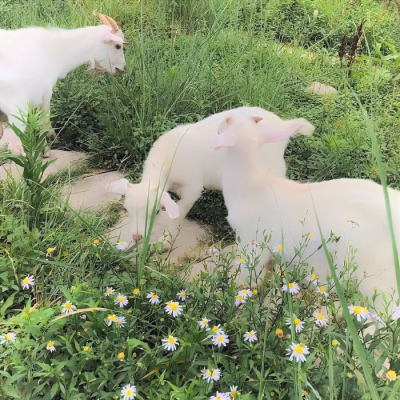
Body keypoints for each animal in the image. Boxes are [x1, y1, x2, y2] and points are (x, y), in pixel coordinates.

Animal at [0, 13, 127, 155]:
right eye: (118, 46)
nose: (123, 68)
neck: (56, 50)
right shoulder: (45, 92)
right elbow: (44, 121)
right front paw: (46, 150)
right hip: (16, 108)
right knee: (15, 146)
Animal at [106, 106, 312, 250]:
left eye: (156, 212)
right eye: (127, 210)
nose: (137, 237)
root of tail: (284, 126)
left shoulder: (192, 187)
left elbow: (178, 214)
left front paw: (164, 242)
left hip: (272, 167)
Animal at [216, 112, 400, 312]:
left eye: (228, 121)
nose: (223, 120)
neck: (253, 184)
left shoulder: (251, 244)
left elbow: (243, 281)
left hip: (380, 281)